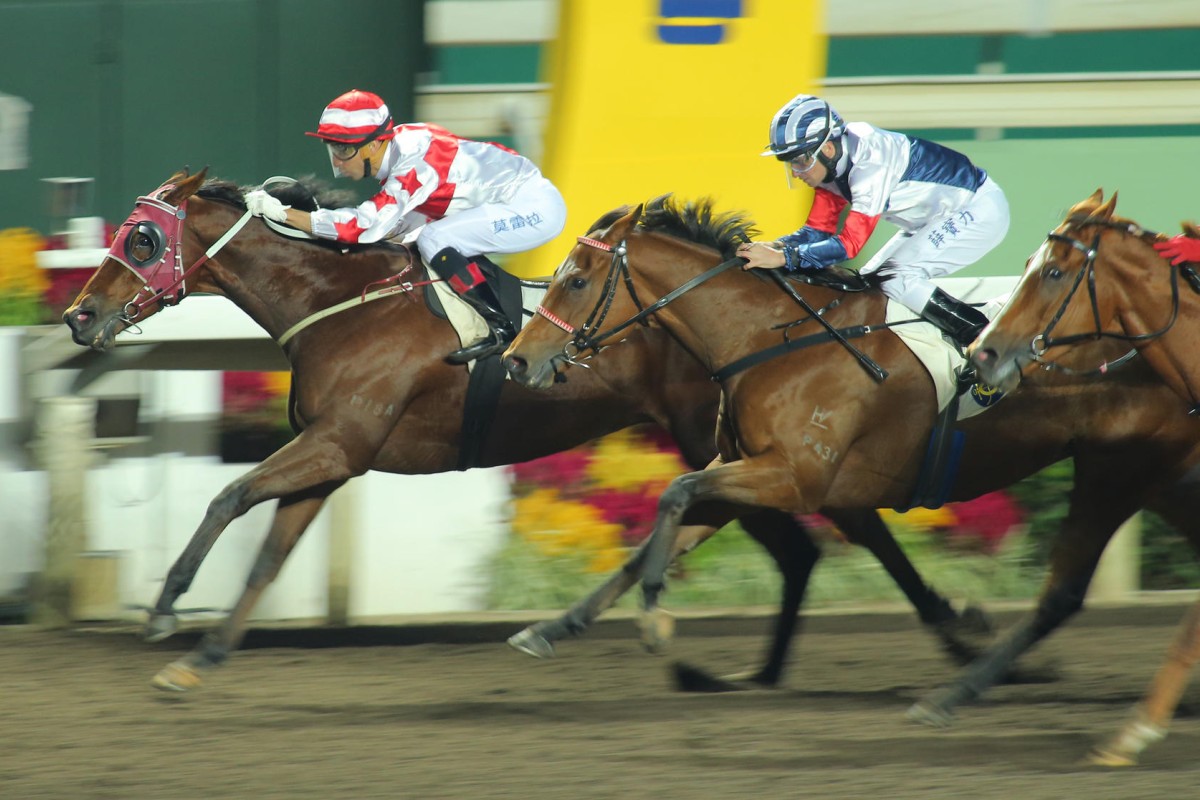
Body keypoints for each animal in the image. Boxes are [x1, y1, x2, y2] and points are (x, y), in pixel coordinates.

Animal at [60, 170, 979, 695]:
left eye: (141, 235)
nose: (78, 315)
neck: (342, 303)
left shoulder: (339, 442)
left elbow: (227, 497)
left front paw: (165, 612)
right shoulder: (332, 456)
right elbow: (267, 553)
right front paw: (203, 655)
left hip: (740, 445)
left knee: (831, 533)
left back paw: (943, 635)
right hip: (736, 447)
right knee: (805, 547)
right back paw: (763, 671)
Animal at [499, 194, 1200, 758]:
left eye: (576, 280)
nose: (515, 360)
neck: (769, 339)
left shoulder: (794, 478)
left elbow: (674, 493)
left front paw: (653, 618)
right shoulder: (745, 469)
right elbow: (662, 529)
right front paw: (551, 628)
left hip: (1117, 470)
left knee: (1062, 592)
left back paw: (954, 695)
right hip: (1156, 479)